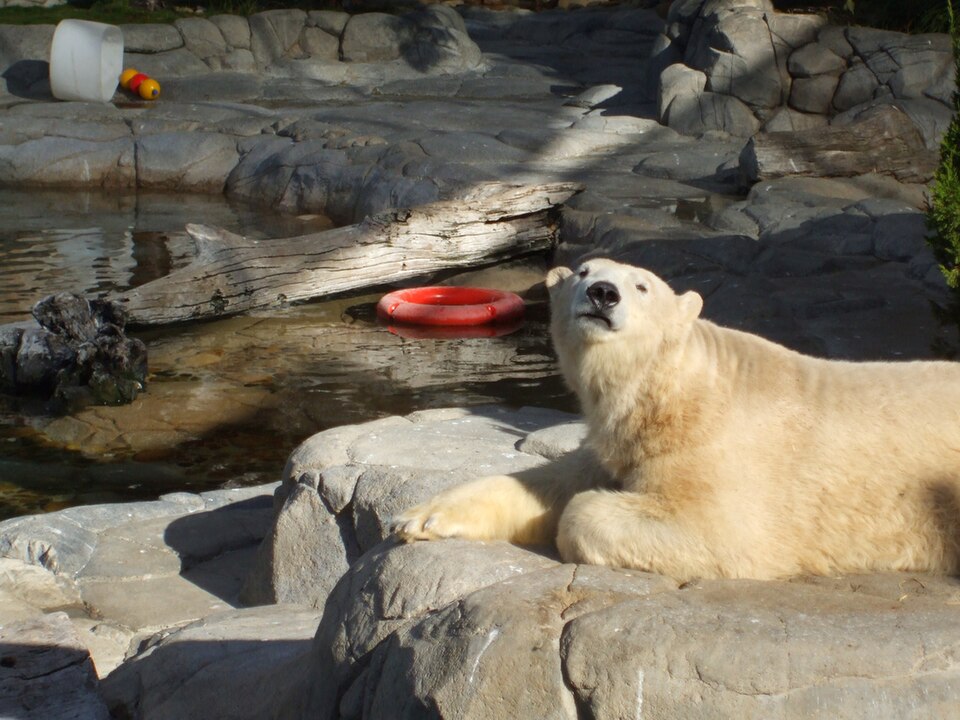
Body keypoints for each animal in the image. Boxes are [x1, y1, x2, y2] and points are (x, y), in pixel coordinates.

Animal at [393, 258, 960, 581]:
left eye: (643, 287)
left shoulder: (720, 451)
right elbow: (546, 484)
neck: (674, 390)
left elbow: (714, 530)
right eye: (582, 271)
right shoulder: (621, 443)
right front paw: (420, 518)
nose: (603, 293)